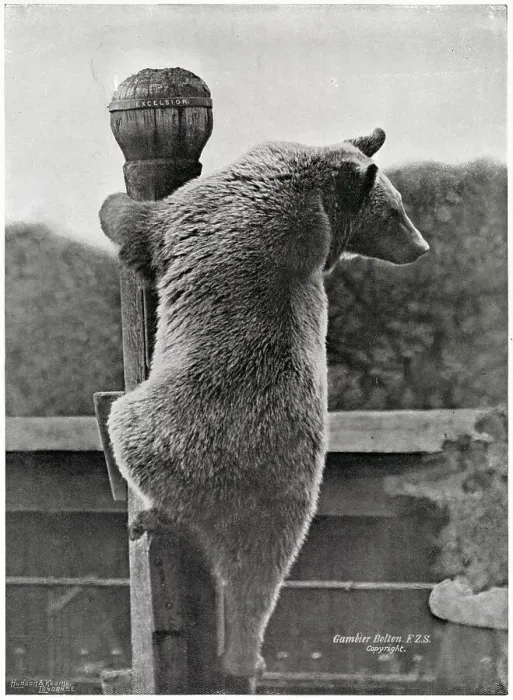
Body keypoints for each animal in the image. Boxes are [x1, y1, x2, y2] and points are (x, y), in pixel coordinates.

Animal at [99, 128, 429, 680]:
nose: (421, 247)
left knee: (132, 434)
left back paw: (150, 514)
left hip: (186, 432)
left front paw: (110, 204)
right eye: (396, 210)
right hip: (287, 496)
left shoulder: (203, 216)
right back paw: (243, 658)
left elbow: (142, 227)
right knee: (259, 575)